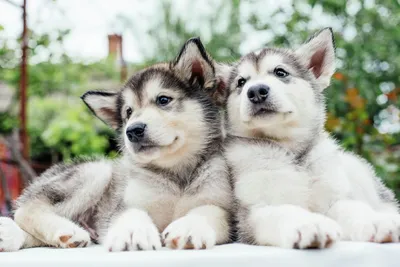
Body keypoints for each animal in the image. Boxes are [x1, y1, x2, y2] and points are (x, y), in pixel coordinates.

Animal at [0, 37, 231, 253]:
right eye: (128, 112)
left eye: (163, 100)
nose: (133, 130)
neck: (176, 172)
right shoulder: (126, 204)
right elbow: (131, 213)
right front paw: (133, 232)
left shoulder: (222, 206)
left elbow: (209, 211)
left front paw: (190, 227)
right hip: (96, 170)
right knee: (26, 209)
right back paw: (66, 230)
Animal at [222, 28, 400, 250]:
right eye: (241, 82)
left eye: (280, 72)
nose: (256, 91)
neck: (292, 153)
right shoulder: (254, 210)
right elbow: (285, 211)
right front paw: (309, 224)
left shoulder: (334, 198)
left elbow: (353, 208)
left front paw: (375, 221)